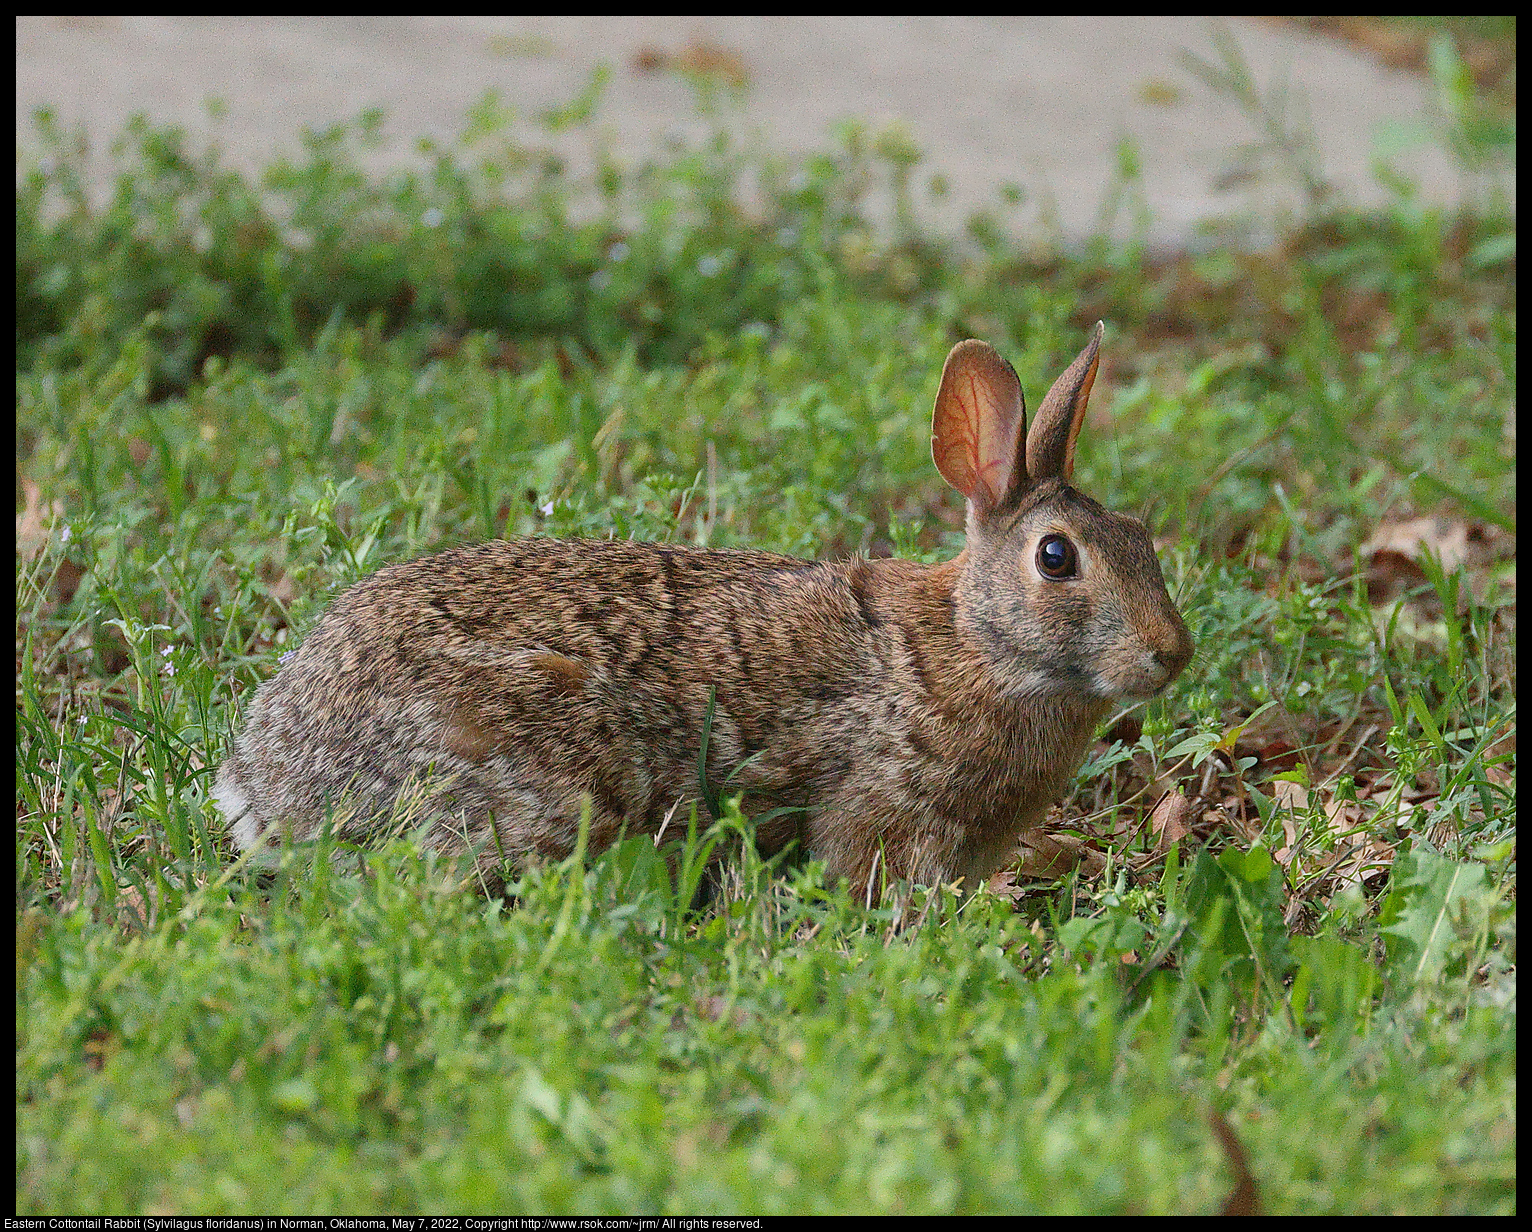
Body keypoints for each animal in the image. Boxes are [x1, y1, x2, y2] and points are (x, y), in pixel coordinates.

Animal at [216, 321, 1194, 901]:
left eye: (1142, 536)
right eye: (1057, 558)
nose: (1171, 653)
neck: (975, 645)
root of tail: (271, 782)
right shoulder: (879, 805)